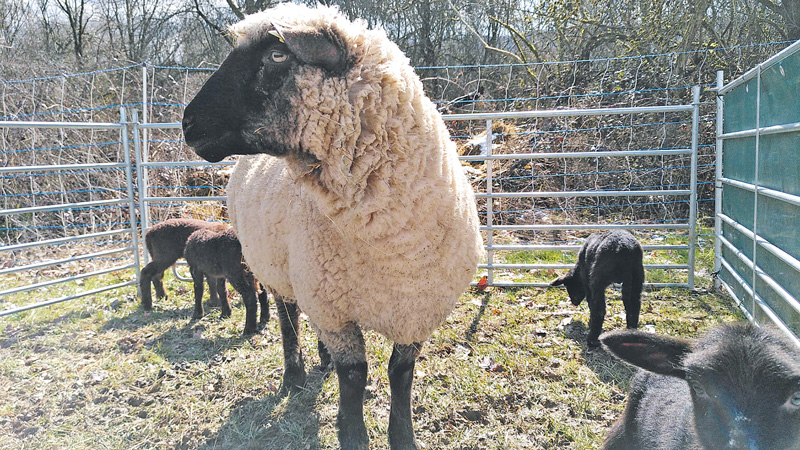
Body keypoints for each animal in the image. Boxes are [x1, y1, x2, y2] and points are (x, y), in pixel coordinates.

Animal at [181, 4, 482, 450]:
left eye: (277, 55)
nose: (187, 123)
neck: (386, 240)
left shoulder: (417, 309)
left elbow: (400, 375)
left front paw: (403, 437)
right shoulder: (335, 310)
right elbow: (354, 376)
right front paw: (353, 433)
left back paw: (320, 361)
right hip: (282, 271)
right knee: (288, 318)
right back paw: (294, 376)